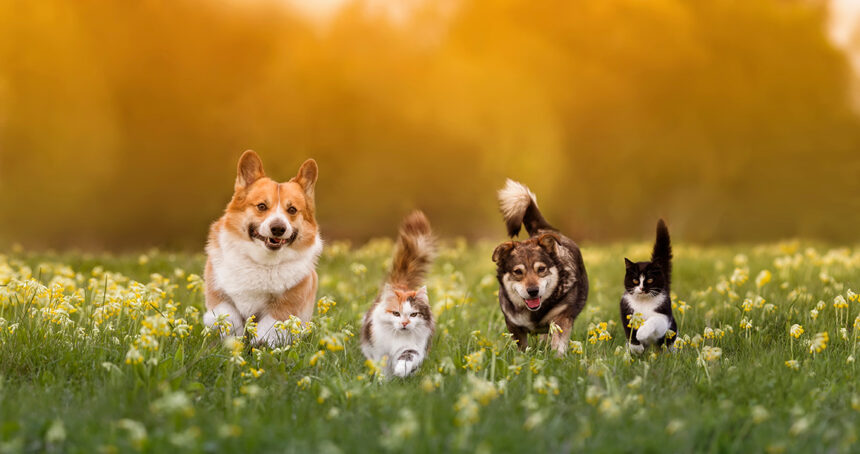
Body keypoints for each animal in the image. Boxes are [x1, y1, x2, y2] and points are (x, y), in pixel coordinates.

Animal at [202, 151, 322, 346]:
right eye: (261, 206)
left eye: (292, 210)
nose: (278, 228)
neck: (262, 261)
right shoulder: (217, 294)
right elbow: (229, 316)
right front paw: (233, 341)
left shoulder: (287, 305)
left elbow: (268, 327)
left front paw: (257, 346)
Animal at [620, 220, 680, 354]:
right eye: (635, 280)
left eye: (650, 280)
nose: (642, 288)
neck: (643, 302)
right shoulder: (626, 310)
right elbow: (629, 331)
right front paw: (636, 348)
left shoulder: (664, 316)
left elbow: (654, 320)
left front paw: (641, 333)